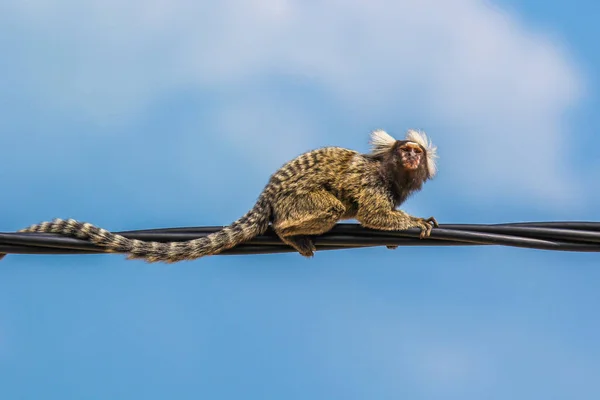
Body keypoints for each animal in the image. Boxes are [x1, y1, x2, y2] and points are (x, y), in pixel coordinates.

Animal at [19, 128, 440, 264]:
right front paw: (418, 223)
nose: (410, 156)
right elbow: (371, 214)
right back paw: (287, 232)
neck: (390, 172)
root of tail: (265, 197)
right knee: (326, 207)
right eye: (406, 151)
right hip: (295, 201)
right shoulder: (371, 182)